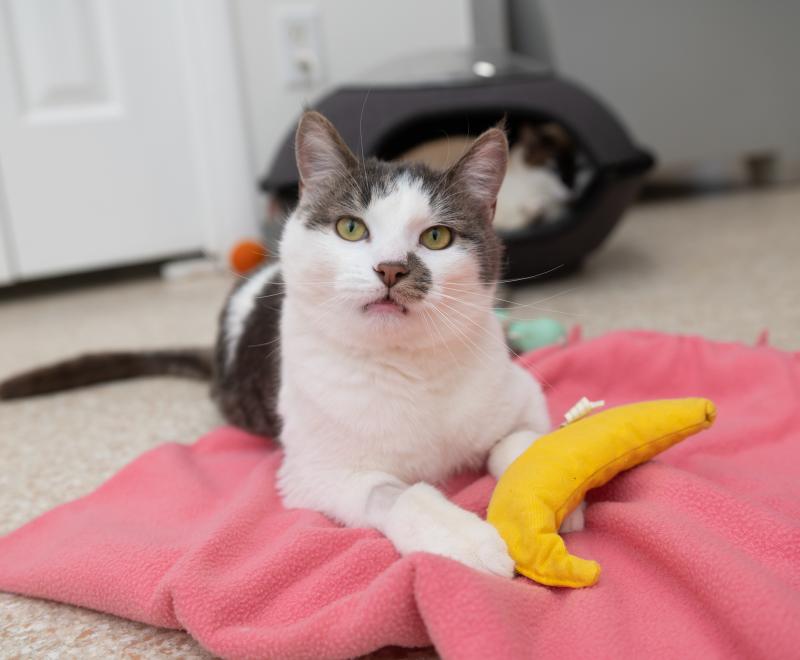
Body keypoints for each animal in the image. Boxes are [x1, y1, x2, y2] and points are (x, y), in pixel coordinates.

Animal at [1, 111, 588, 576]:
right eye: (351, 228)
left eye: (437, 238)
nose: (391, 268)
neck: (410, 369)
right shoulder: (318, 471)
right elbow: (395, 492)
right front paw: (464, 538)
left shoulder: (521, 394)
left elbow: (520, 442)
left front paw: (544, 489)